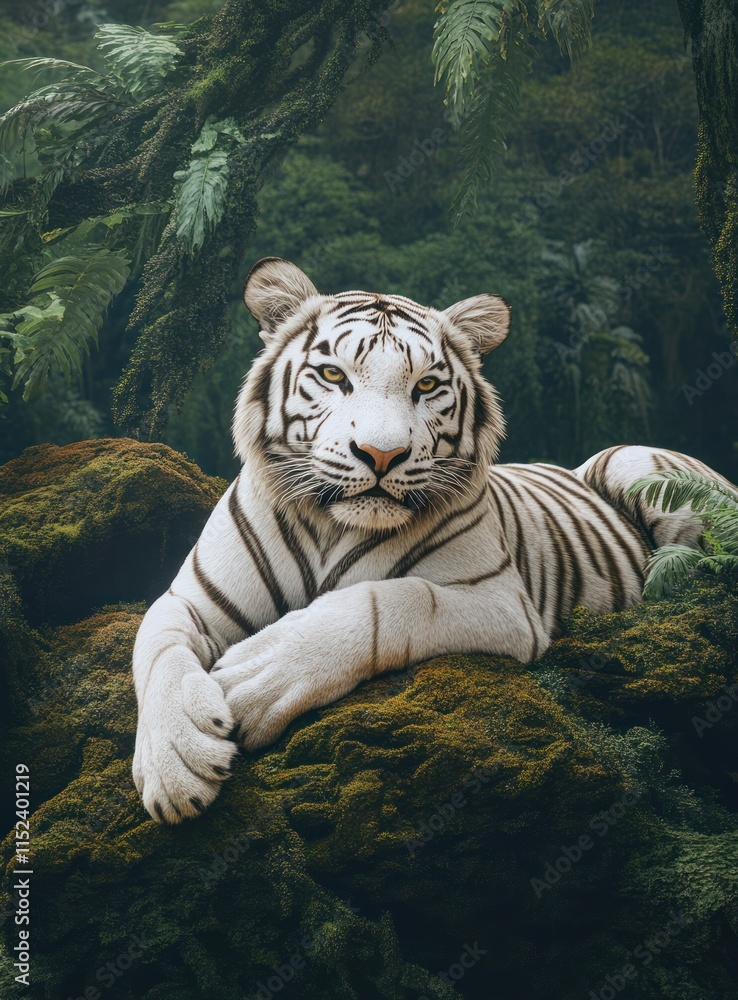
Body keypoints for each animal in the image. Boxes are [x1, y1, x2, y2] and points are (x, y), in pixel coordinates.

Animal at [132, 256, 732, 824]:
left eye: (425, 385)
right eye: (332, 374)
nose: (381, 455)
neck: (331, 526)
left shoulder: (501, 603)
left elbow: (390, 602)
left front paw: (255, 676)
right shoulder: (193, 599)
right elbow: (155, 646)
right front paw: (175, 766)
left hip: (635, 464)